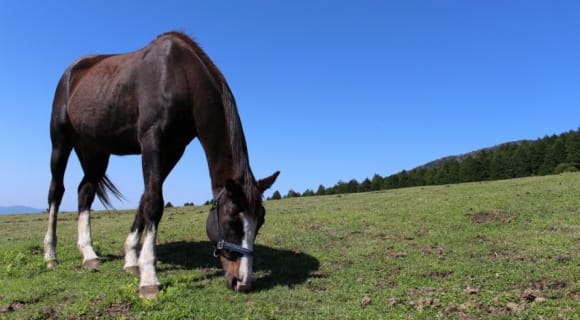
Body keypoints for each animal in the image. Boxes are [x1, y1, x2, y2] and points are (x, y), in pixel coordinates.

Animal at [44, 31, 280, 298]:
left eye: (260, 220)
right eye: (231, 219)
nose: (242, 281)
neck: (179, 76)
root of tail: (71, 72)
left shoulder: (173, 151)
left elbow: (145, 198)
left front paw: (131, 260)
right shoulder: (152, 142)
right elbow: (154, 203)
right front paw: (149, 278)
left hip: (96, 152)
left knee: (85, 192)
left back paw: (89, 254)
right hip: (60, 142)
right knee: (56, 192)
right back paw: (51, 255)